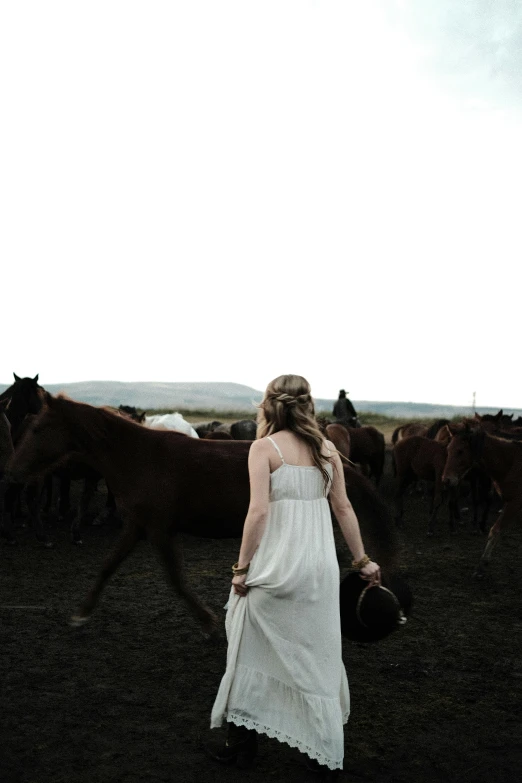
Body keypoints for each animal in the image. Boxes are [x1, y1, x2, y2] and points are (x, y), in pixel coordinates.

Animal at [7, 398, 398, 636]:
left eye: (38, 428)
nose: (14, 471)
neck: (138, 457)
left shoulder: (159, 530)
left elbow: (176, 580)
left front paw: (209, 623)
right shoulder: (138, 526)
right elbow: (107, 566)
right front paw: (82, 612)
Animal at [440, 426, 520, 580]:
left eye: (460, 451)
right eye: (448, 449)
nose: (446, 480)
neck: (512, 462)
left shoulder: (515, 504)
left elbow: (495, 530)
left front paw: (481, 567)